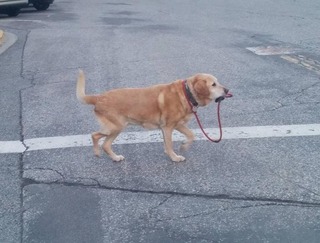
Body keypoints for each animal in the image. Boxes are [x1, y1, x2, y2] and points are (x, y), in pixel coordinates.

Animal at [76, 70, 229, 161]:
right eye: (213, 84)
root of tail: (98, 98)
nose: (227, 90)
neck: (187, 93)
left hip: (115, 129)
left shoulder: (177, 125)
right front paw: (174, 157)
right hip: (115, 127)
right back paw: (101, 153)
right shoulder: (168, 127)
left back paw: (111, 156)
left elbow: (190, 135)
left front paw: (184, 146)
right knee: (96, 137)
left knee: (102, 142)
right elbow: (170, 144)